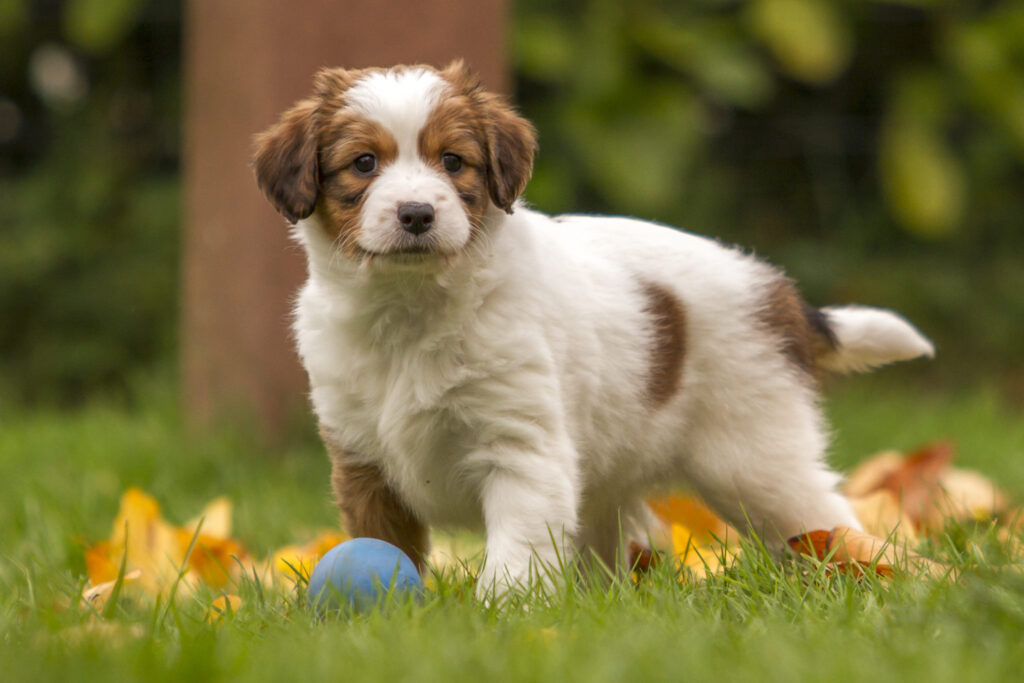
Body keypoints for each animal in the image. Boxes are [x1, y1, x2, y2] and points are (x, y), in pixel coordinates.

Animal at [251, 61, 933, 593]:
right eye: (364, 164)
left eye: (453, 161)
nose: (417, 213)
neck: (411, 309)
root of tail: (777, 289)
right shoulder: (362, 461)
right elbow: (386, 547)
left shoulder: (521, 452)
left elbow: (516, 556)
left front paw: (502, 614)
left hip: (757, 458)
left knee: (824, 516)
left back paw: (873, 579)